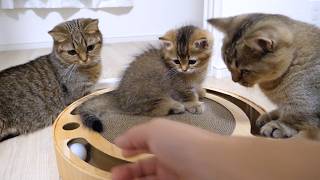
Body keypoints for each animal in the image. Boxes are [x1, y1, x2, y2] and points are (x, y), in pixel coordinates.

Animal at [77, 25, 212, 131]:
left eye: (192, 61)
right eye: (176, 61)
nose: (184, 69)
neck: (197, 72)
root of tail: (118, 97)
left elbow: (197, 88)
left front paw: (200, 92)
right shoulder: (179, 86)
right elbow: (188, 95)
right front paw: (194, 104)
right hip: (152, 91)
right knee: (155, 109)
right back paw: (175, 107)